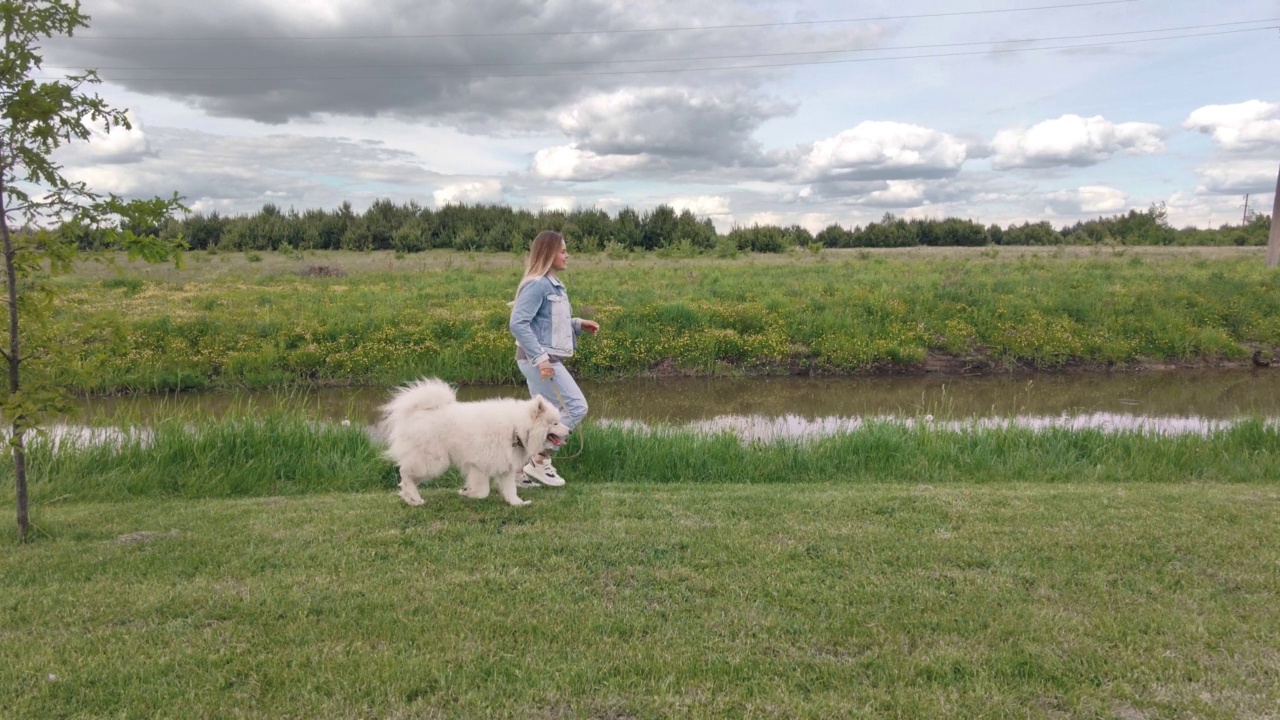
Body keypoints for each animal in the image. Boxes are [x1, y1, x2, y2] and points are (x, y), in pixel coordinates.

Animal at [373, 376, 568, 504]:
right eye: (555, 423)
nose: (570, 431)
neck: (516, 428)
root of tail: (418, 413)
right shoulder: (480, 464)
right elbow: (483, 491)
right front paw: (468, 493)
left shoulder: (502, 467)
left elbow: (510, 489)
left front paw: (517, 503)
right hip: (433, 460)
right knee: (405, 472)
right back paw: (413, 496)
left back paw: (410, 497)